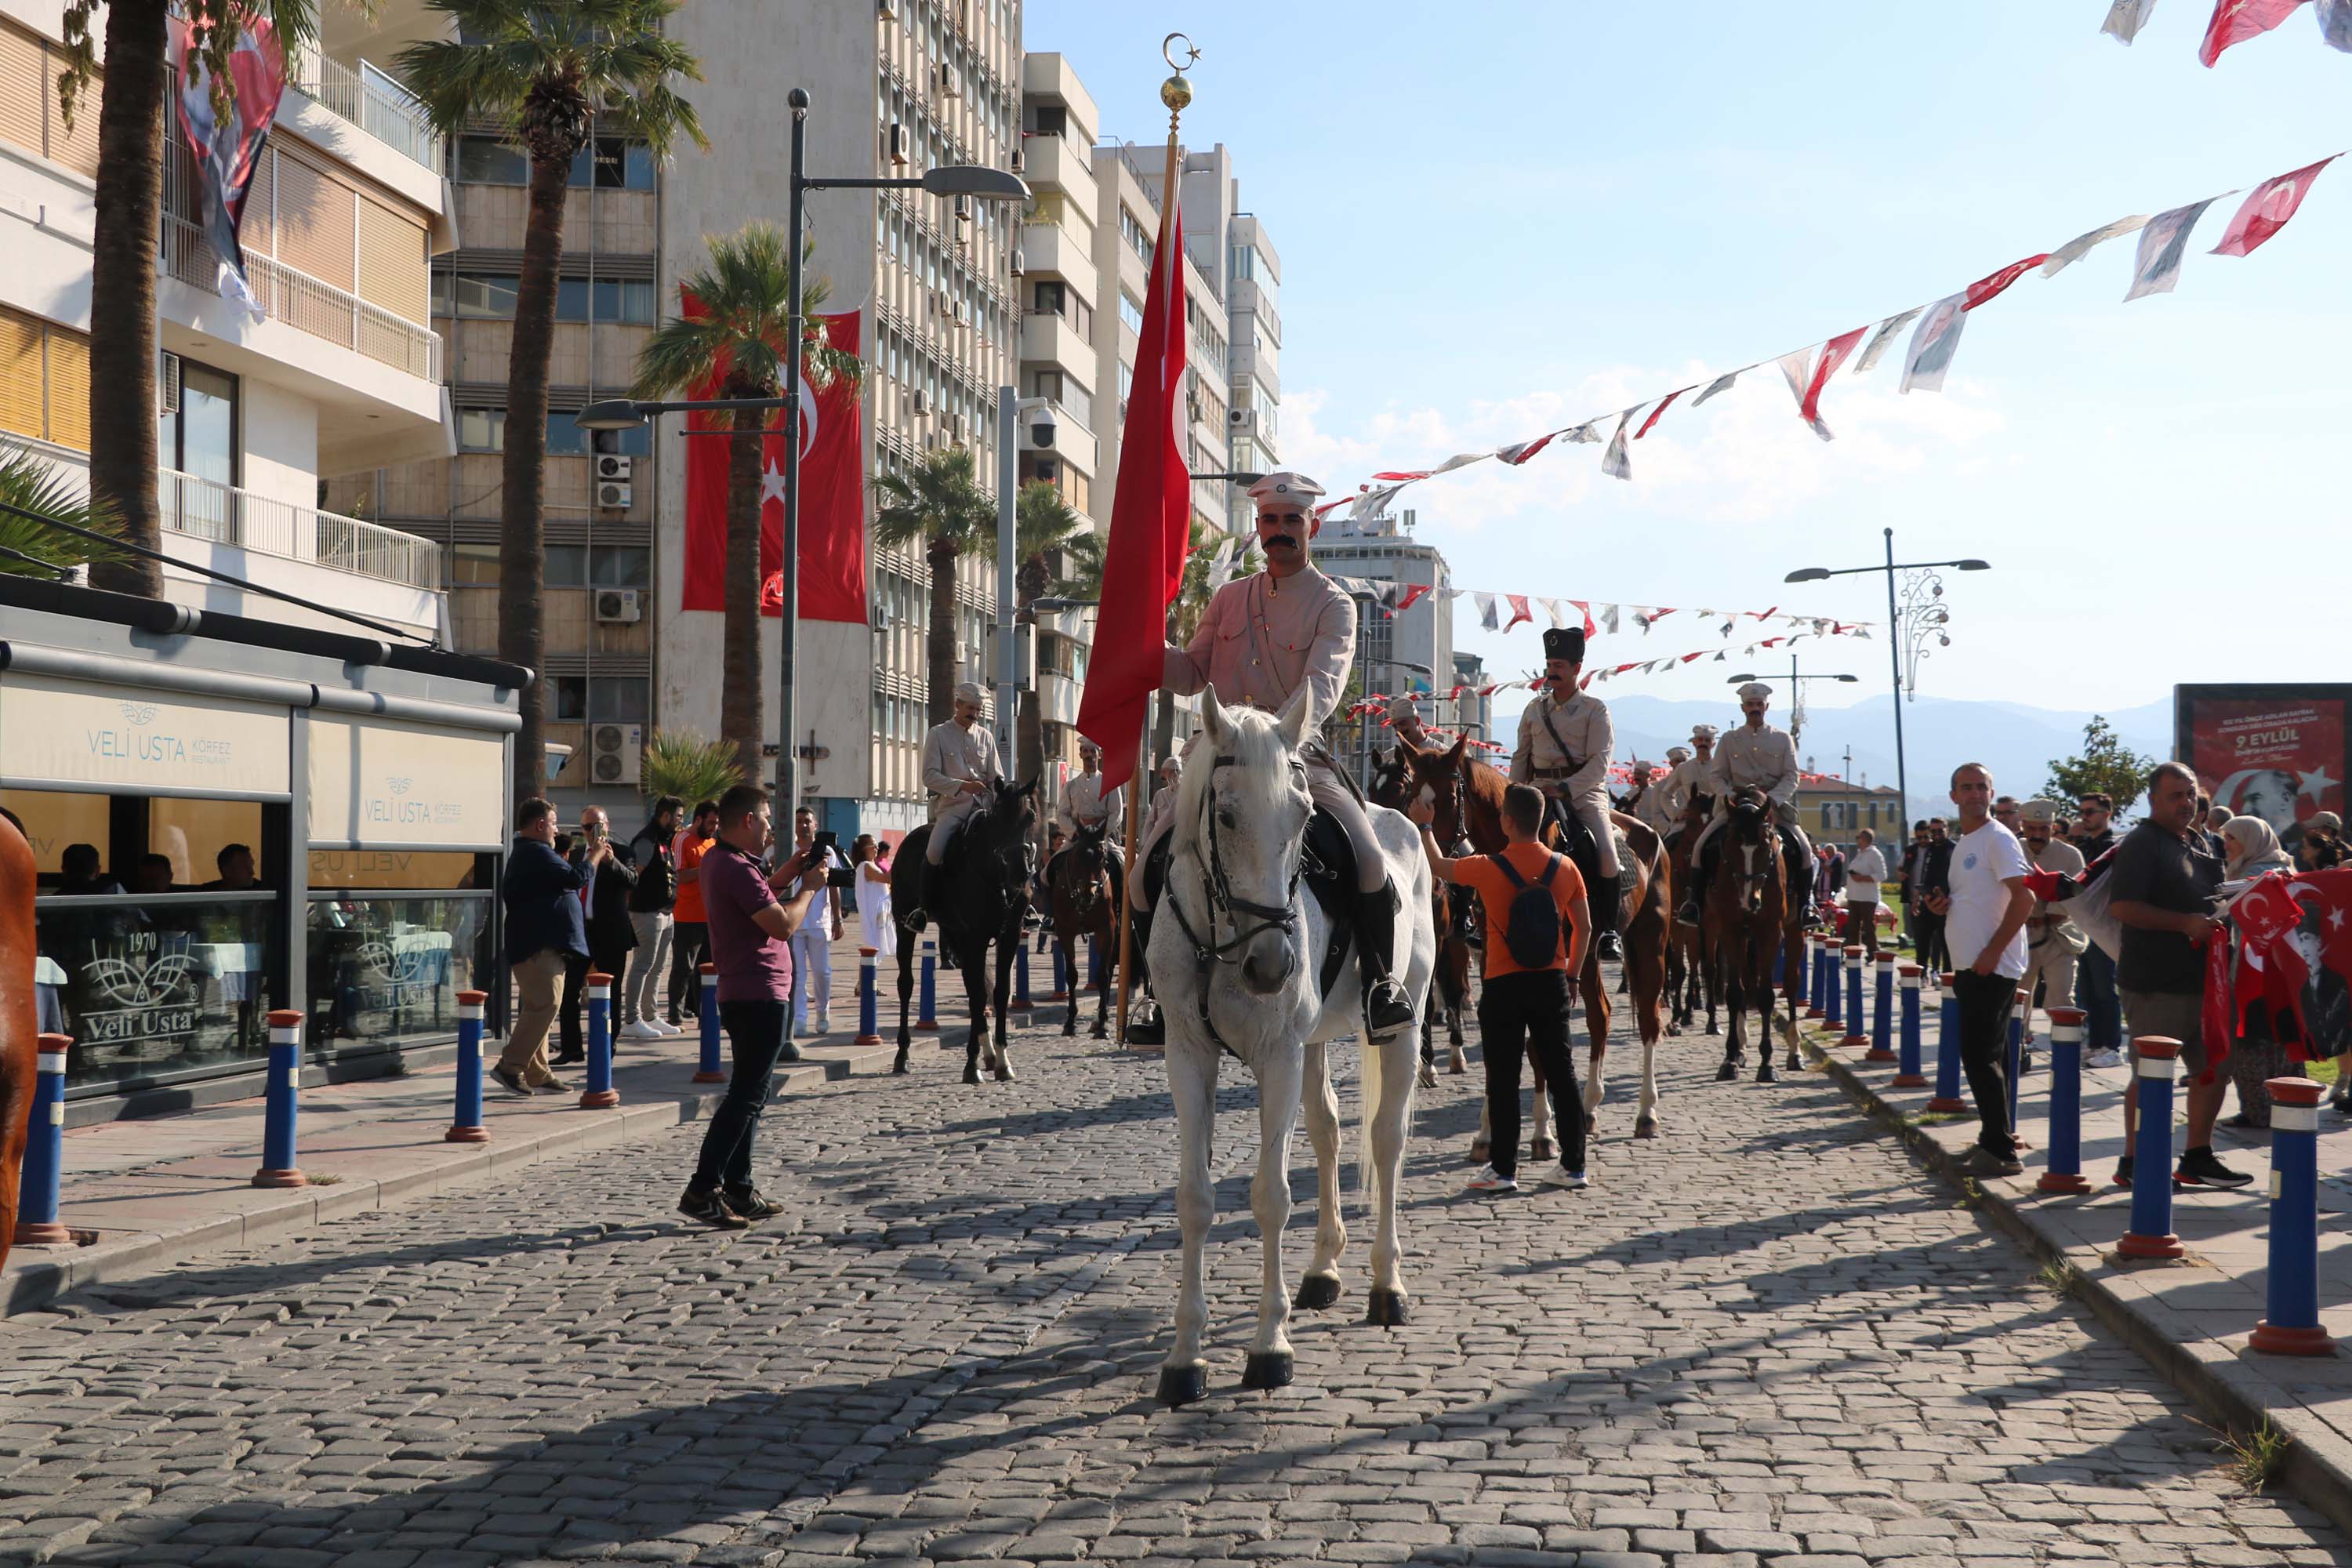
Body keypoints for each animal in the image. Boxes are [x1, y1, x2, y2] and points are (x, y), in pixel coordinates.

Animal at [884, 780, 1035, 1086]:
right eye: (999, 818)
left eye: (1030, 818)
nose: (1019, 873)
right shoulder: (975, 937)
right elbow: (978, 996)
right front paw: (970, 1065)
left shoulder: (1009, 936)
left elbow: (999, 992)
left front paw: (1002, 1060)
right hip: (905, 925)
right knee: (906, 984)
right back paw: (902, 1055)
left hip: (956, 934)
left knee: (972, 983)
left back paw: (989, 1054)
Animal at [1143, 686, 1430, 1410]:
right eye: (1224, 814)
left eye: (1302, 816)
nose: (1274, 965)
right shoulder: (1188, 1055)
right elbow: (1195, 1199)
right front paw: (1185, 1355)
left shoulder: (1277, 1055)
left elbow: (1270, 1195)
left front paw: (1269, 1347)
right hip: (1315, 1042)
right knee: (1328, 1132)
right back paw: (1324, 1269)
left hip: (1403, 1027)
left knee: (1386, 1141)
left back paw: (1386, 1286)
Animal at [1703, 785, 1788, 1081]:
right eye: (1730, 845)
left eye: (1766, 844)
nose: (1749, 901)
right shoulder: (1731, 929)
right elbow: (1734, 993)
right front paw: (1729, 1058)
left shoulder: (1771, 932)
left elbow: (1766, 995)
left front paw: (1768, 1063)